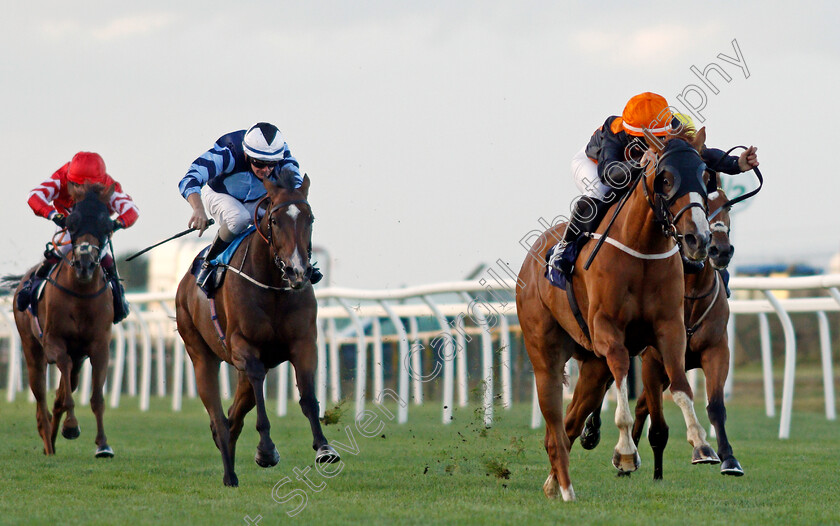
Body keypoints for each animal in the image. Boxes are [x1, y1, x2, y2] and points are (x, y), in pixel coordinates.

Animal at [4, 185, 117, 458]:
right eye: (72, 224)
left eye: (106, 226)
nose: (85, 263)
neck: (81, 294)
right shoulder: (54, 342)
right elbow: (62, 381)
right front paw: (71, 426)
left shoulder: (99, 346)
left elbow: (96, 398)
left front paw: (103, 444)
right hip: (31, 351)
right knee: (41, 399)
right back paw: (48, 441)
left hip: (78, 359)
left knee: (59, 394)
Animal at [176, 175, 340, 488]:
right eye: (274, 220)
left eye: (310, 218)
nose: (297, 271)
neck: (274, 285)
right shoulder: (244, 346)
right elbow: (259, 392)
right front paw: (266, 450)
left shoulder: (304, 344)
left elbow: (308, 398)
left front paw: (324, 448)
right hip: (200, 352)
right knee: (218, 416)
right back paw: (229, 475)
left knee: (233, 416)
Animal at [516, 129, 720, 504]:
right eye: (665, 178)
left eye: (705, 176)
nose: (697, 239)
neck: (643, 249)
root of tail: (533, 255)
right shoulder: (607, 332)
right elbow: (624, 376)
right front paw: (625, 453)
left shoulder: (670, 329)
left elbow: (681, 385)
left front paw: (701, 443)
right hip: (545, 358)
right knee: (555, 426)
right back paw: (565, 489)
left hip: (593, 369)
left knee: (567, 427)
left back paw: (554, 482)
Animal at [564, 191, 740, 482]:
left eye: (727, 204)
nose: (720, 250)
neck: (691, 296)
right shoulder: (652, 362)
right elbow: (655, 422)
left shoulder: (715, 350)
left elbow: (715, 405)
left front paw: (727, 458)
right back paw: (596, 434)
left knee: (636, 403)